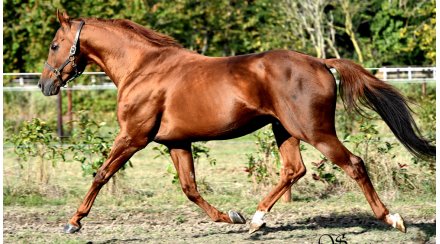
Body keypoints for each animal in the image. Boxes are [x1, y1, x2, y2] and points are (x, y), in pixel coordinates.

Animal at [38, 11, 436, 234]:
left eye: (55, 46)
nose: (45, 85)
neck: (143, 68)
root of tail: (321, 62)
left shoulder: (133, 136)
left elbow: (101, 174)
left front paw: (73, 222)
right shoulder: (175, 142)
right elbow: (190, 188)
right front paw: (234, 216)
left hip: (315, 131)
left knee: (353, 164)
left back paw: (393, 219)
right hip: (284, 130)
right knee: (293, 170)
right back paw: (257, 221)